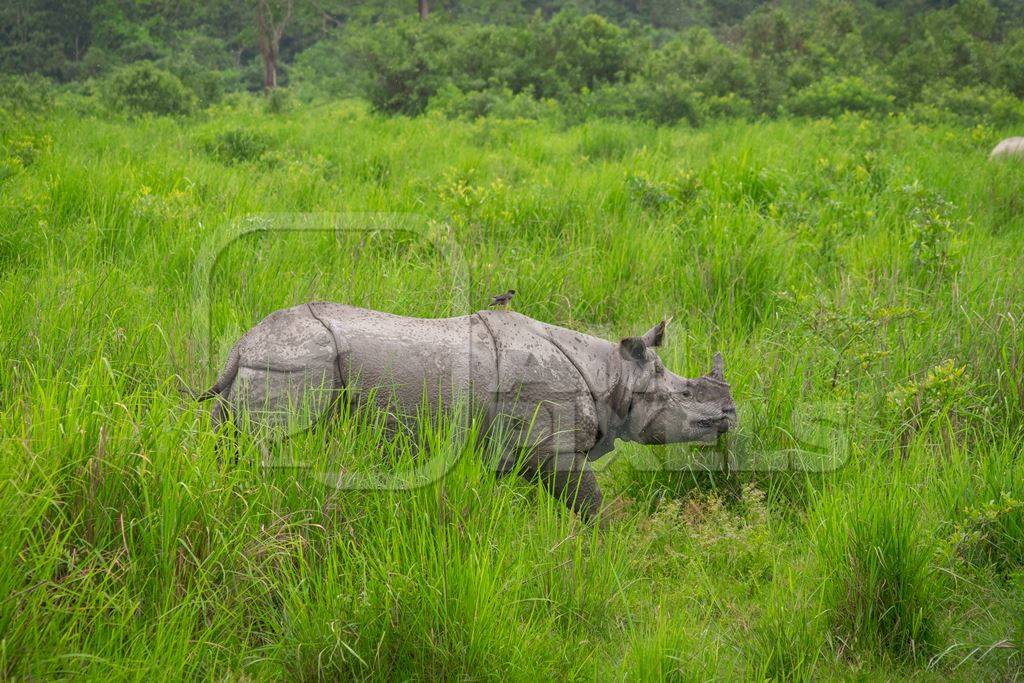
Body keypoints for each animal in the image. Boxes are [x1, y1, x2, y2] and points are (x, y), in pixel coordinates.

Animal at [195, 301, 737, 520]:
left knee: (232, 449)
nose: (732, 413)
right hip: (295, 367)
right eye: (685, 395)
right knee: (277, 451)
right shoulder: (552, 448)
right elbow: (590, 505)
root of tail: (241, 346)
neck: (613, 375)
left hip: (261, 371)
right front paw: (605, 548)